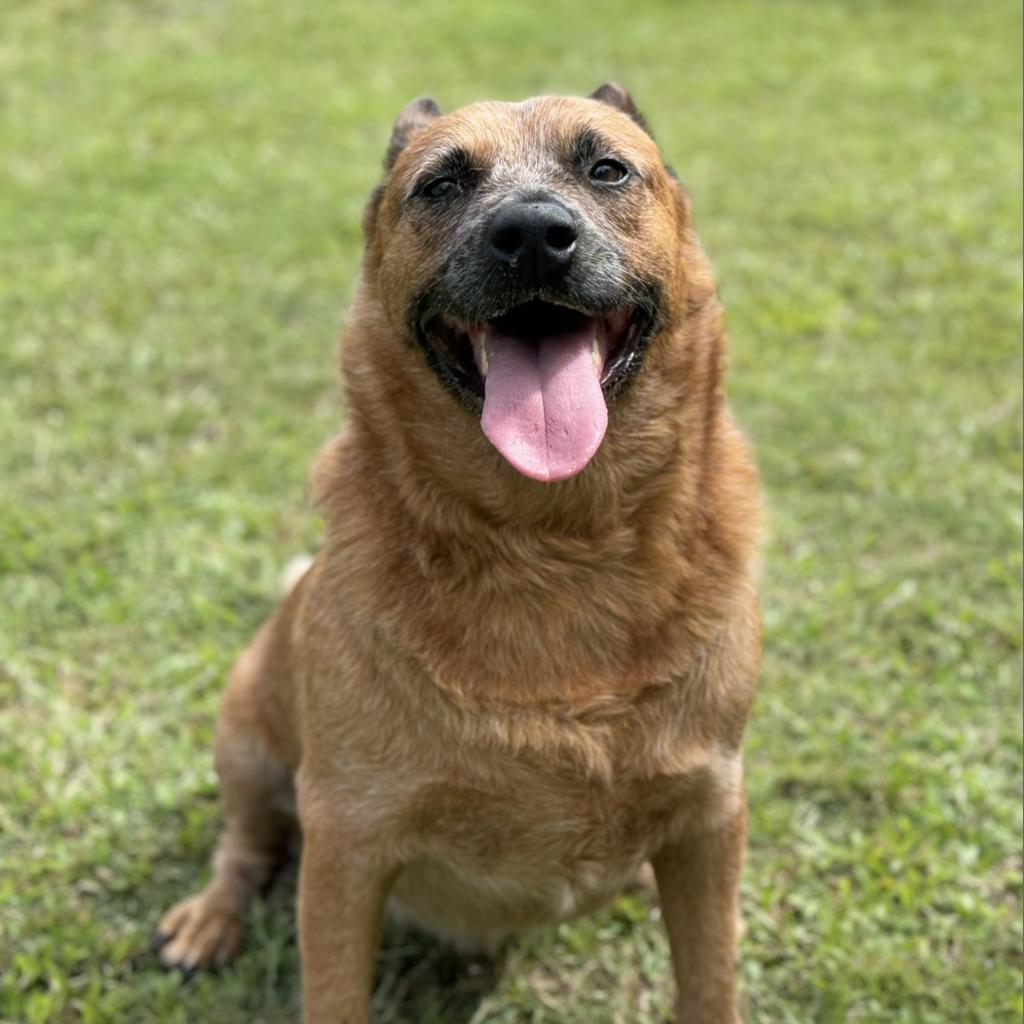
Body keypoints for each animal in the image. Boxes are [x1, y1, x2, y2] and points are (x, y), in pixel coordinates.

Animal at [153, 81, 761, 1024]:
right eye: (441, 184)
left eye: (607, 168)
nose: (534, 233)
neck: (553, 542)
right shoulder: (347, 843)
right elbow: (332, 988)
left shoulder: (709, 820)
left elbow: (710, 981)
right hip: (247, 732)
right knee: (246, 844)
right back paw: (210, 918)